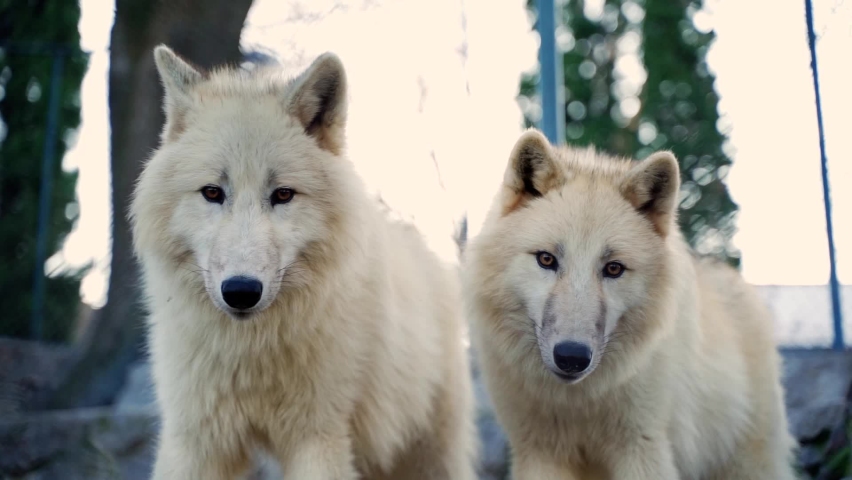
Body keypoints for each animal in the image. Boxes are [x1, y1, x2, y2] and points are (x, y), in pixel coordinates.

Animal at [130, 45, 477, 480]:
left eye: (283, 195)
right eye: (212, 192)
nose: (241, 291)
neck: (252, 352)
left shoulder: (317, 438)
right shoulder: (198, 441)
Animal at [461, 129, 797, 480]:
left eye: (613, 268)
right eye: (546, 259)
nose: (572, 357)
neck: (578, 402)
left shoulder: (642, 449)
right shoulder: (540, 455)